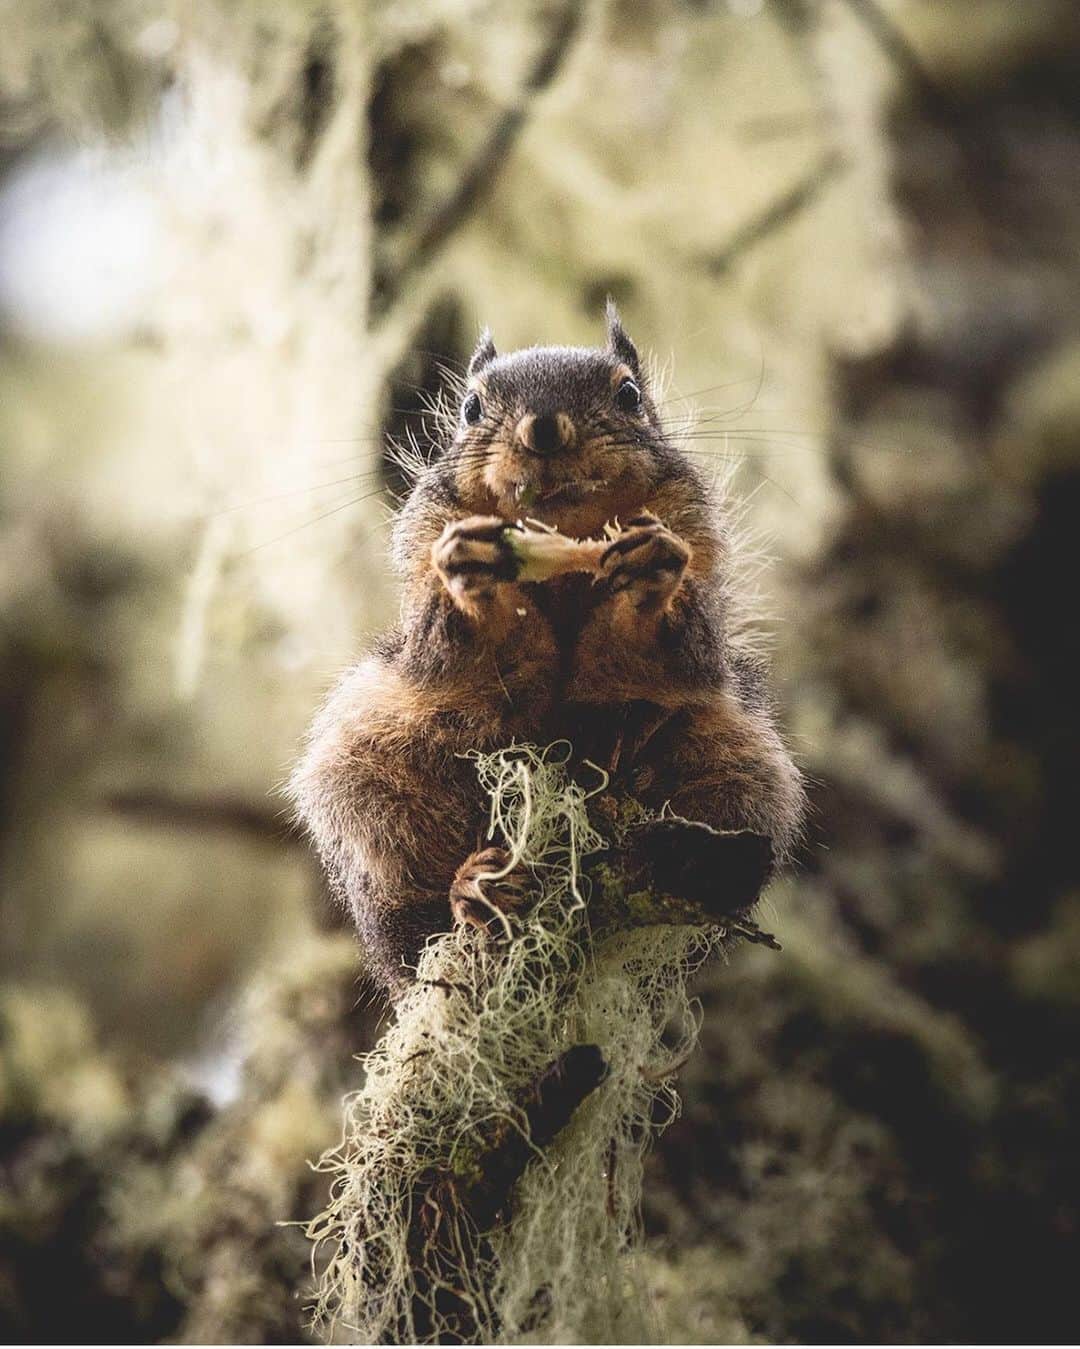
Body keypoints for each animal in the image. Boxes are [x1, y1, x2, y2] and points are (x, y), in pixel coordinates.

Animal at [289, 304, 805, 995]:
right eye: (472, 407)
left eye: (629, 395)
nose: (543, 429)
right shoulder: (430, 583)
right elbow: (459, 654)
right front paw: (472, 579)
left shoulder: (694, 559)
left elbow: (677, 652)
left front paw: (651, 578)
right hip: (367, 775)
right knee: (411, 922)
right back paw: (471, 891)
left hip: (745, 767)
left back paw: (674, 838)